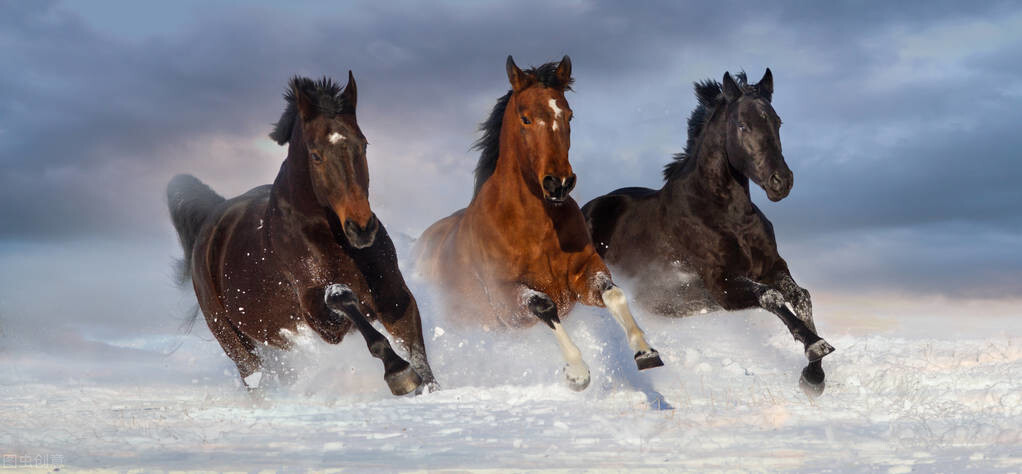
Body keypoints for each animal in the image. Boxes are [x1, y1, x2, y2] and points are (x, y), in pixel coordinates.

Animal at [166, 72, 435, 394]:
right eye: (316, 155)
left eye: (363, 144)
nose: (361, 228)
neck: (328, 235)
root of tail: (212, 218)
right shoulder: (320, 319)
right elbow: (343, 299)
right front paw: (398, 373)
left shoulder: (393, 294)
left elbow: (417, 351)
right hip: (234, 342)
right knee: (255, 378)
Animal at [414, 55, 662, 390]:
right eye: (526, 118)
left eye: (569, 115)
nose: (559, 183)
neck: (536, 227)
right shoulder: (506, 298)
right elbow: (544, 306)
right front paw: (577, 372)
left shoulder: (583, 274)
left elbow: (614, 293)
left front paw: (645, 352)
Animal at [588, 68, 833, 394]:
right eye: (742, 125)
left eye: (777, 121)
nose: (781, 181)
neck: (726, 215)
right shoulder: (720, 284)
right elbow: (771, 298)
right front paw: (814, 346)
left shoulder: (771, 266)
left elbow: (801, 296)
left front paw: (814, 375)